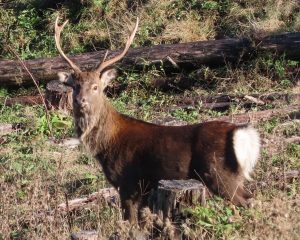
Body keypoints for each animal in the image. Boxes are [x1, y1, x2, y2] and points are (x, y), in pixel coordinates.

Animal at [54, 16, 260, 223]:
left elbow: (130, 221)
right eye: (75, 86)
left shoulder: (128, 181)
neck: (105, 145)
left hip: (220, 173)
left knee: (249, 201)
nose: (81, 100)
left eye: (96, 87)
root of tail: (240, 132)